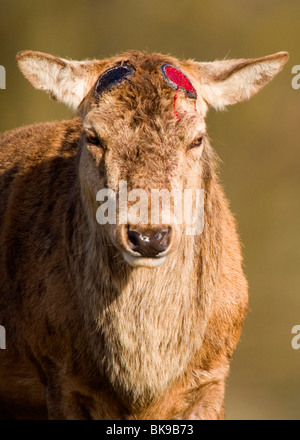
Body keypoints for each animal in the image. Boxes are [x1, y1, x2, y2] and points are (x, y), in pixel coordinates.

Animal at [0, 48, 288, 420]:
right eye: (93, 137)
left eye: (197, 139)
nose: (148, 236)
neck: (142, 388)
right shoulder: (58, 372)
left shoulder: (213, 376)